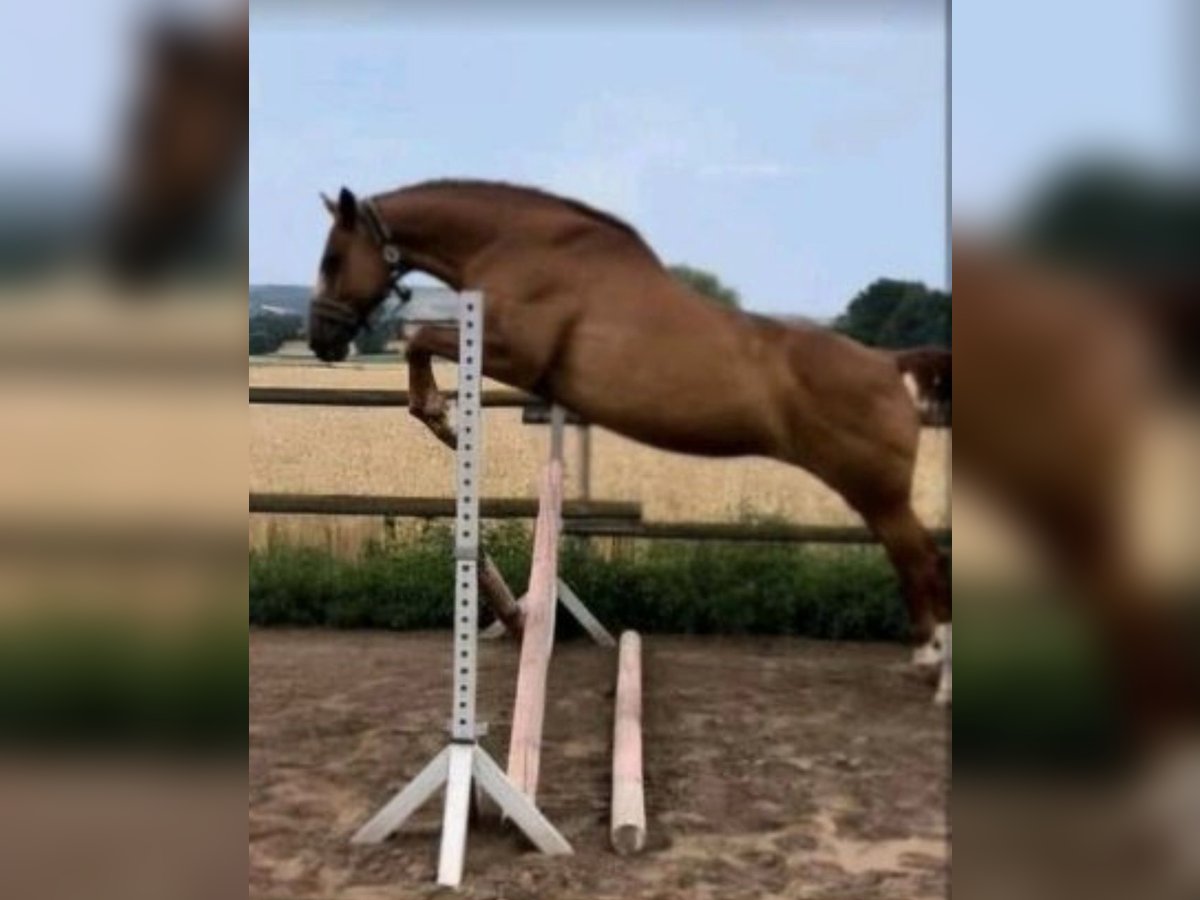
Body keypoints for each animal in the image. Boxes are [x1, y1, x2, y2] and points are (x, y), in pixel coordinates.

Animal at [309, 177, 955, 696]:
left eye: (334, 257)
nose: (321, 339)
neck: (516, 246)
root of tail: (890, 365)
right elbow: (420, 338)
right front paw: (441, 414)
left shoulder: (518, 353)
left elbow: (418, 336)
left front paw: (439, 414)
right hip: (872, 491)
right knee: (911, 560)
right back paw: (924, 662)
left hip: (875, 488)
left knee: (921, 558)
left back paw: (940, 674)